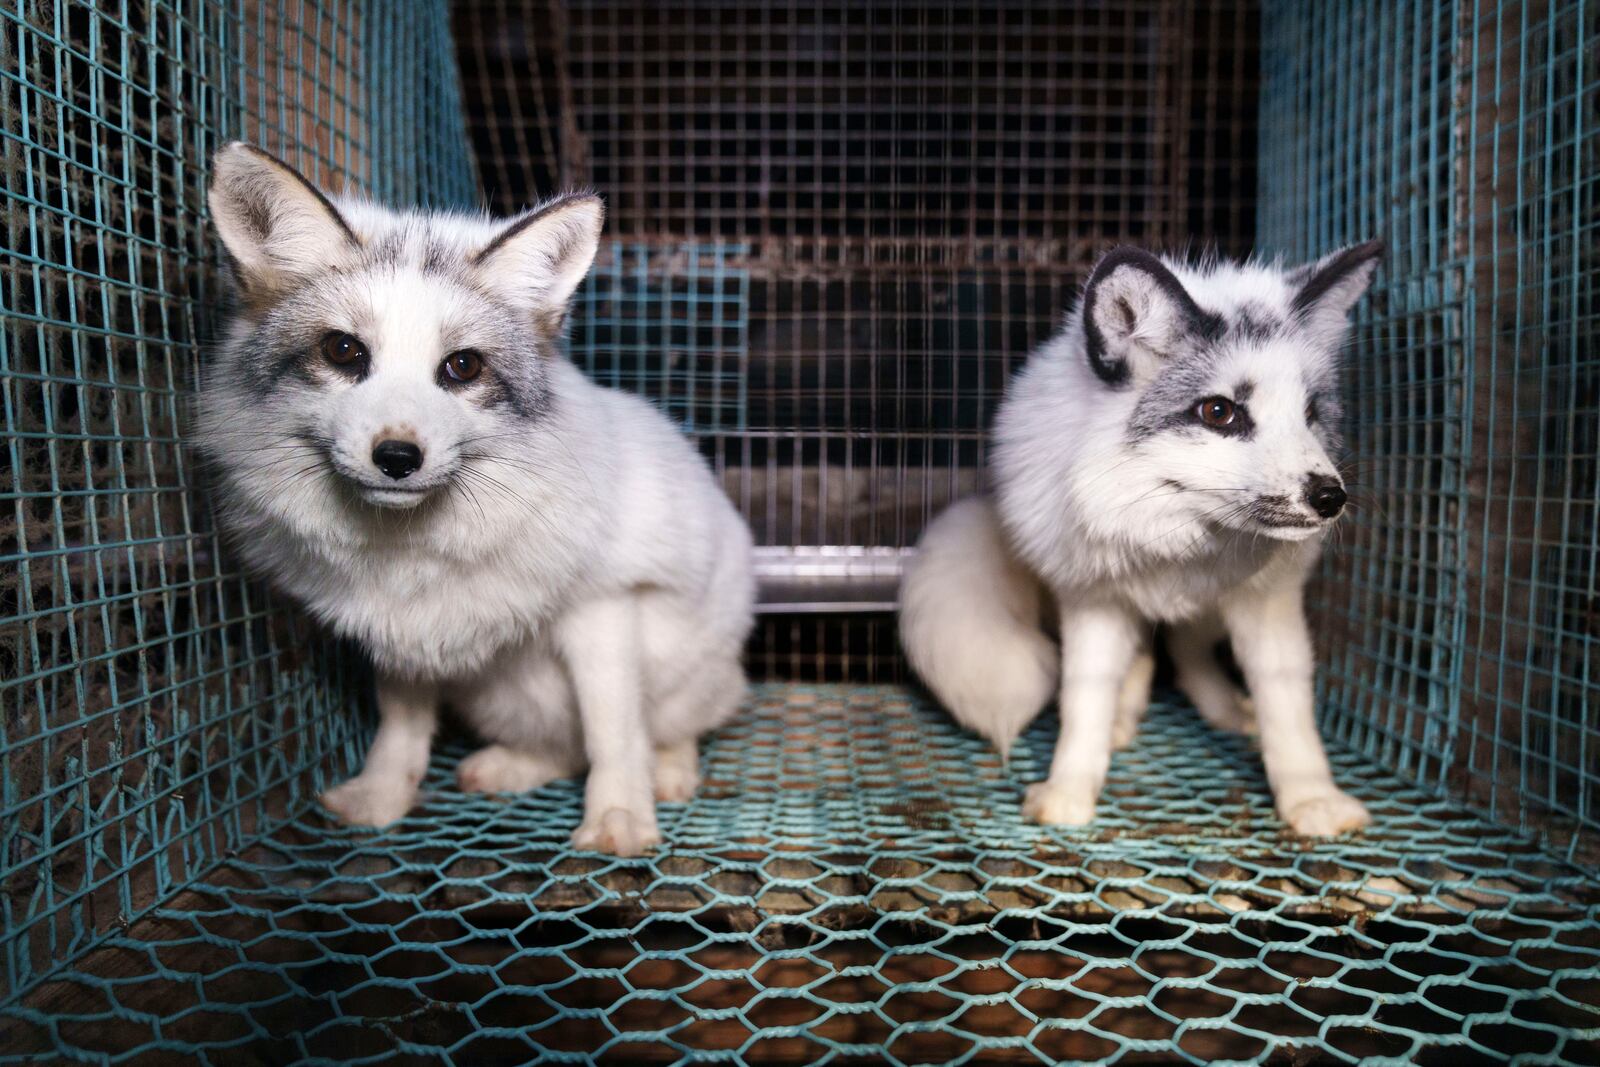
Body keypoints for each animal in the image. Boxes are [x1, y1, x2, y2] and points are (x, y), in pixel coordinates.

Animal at [198, 143, 755, 857]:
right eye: (343, 350)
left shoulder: (604, 609)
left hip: (689, 676)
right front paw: (383, 796)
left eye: (462, 367)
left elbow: (613, 732)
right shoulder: (401, 635)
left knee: (658, 731)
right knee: (561, 751)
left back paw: (670, 771)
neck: (412, 547)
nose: (397, 458)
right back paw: (507, 767)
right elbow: (401, 728)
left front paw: (618, 817)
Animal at [902, 241, 1388, 831]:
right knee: (1145, 658)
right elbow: (1083, 699)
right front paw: (1070, 788)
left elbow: (1287, 706)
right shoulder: (1092, 600)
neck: (1175, 538)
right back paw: (1124, 718)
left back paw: (1226, 711)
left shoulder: (1267, 601)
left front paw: (1312, 797)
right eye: (1219, 411)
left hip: (1210, 614)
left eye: (1311, 413)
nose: (1330, 497)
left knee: (1183, 649)